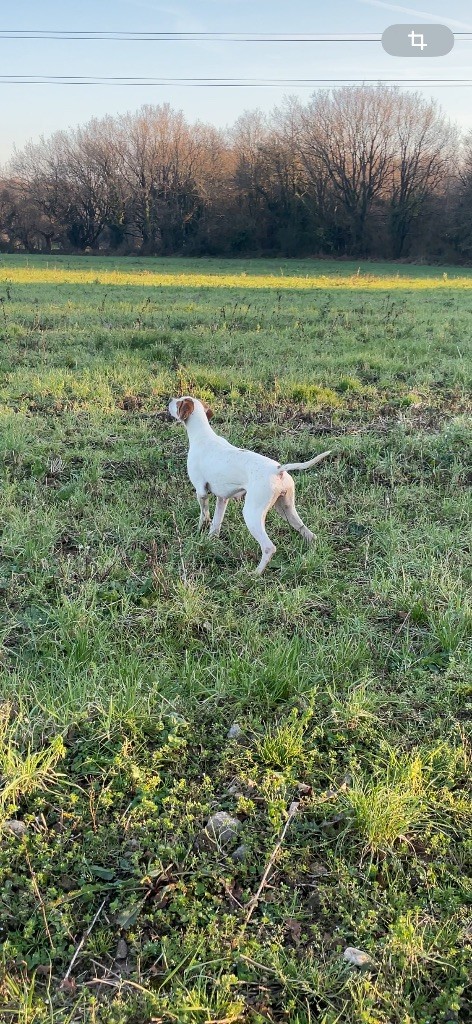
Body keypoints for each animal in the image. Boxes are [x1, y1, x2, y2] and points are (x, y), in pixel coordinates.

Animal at [167, 395, 329, 573]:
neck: (203, 435)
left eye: (178, 402)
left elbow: (204, 516)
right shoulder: (222, 499)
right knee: (309, 534)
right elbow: (216, 523)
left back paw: (255, 573)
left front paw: (199, 533)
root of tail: (277, 470)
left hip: (252, 514)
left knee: (269, 547)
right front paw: (210, 540)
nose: (170, 399)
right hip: (285, 509)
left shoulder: (201, 492)